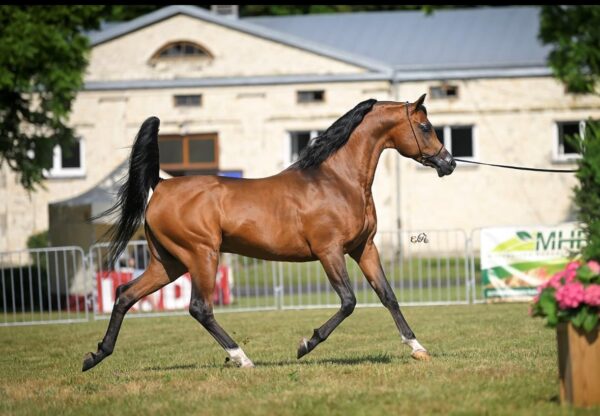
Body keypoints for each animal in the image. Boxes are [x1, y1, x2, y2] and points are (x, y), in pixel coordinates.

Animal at [81, 94, 454, 370]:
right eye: (425, 126)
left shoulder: (364, 248)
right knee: (200, 307)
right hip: (201, 255)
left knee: (125, 294)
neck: (337, 180)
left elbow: (388, 295)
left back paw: (96, 355)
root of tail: (161, 185)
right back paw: (242, 359)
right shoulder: (329, 251)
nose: (448, 163)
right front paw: (305, 344)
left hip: (168, 262)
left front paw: (417, 347)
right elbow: (349, 301)